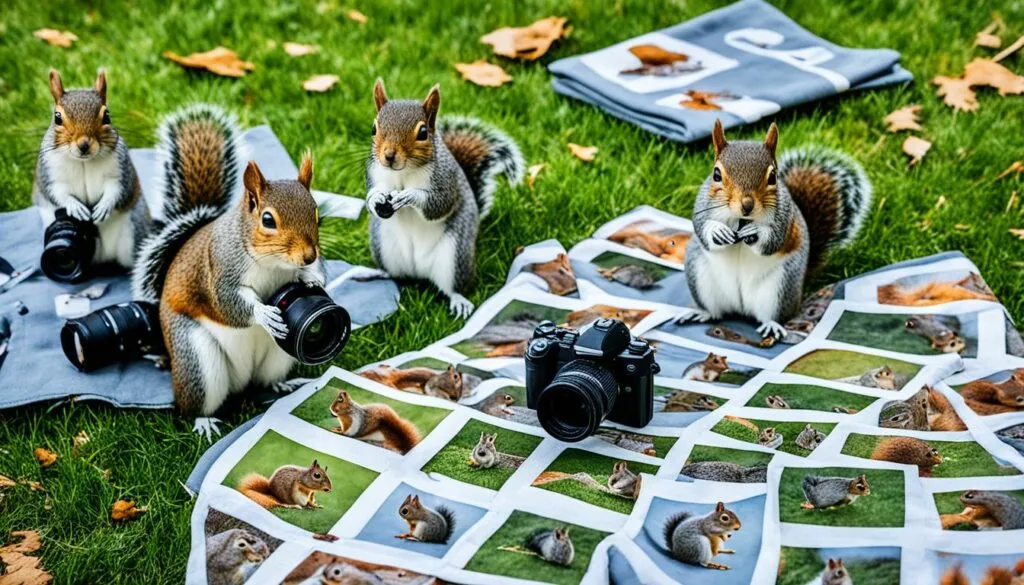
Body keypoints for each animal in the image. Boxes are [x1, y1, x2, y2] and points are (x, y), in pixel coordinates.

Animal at [33, 69, 148, 270]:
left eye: (107, 115)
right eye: (57, 117)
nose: (84, 145)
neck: (84, 162)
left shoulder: (120, 170)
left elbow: (117, 189)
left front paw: (104, 206)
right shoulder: (49, 173)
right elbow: (56, 192)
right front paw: (75, 206)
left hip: (134, 233)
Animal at [132, 105, 325, 417]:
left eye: (317, 214)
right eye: (267, 220)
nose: (309, 256)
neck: (272, 263)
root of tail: (241, 381)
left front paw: (312, 277)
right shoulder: (220, 268)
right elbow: (226, 302)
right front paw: (263, 313)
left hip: (278, 354)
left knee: (266, 379)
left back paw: (284, 385)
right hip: (196, 358)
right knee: (195, 403)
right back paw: (204, 420)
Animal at [365, 79, 524, 318]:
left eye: (423, 132)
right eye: (374, 128)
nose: (389, 155)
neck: (404, 172)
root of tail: (419, 272)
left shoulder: (447, 179)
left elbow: (440, 205)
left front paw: (411, 195)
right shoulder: (375, 172)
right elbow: (370, 194)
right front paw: (376, 199)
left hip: (455, 255)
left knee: (452, 287)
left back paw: (459, 300)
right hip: (383, 246)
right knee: (396, 275)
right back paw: (377, 273)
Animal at [680, 120, 871, 340]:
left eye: (773, 177)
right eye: (716, 174)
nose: (747, 205)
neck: (741, 220)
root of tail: (741, 307)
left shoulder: (785, 217)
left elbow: (775, 239)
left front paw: (755, 232)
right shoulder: (702, 204)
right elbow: (701, 225)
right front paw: (717, 231)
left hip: (781, 287)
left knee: (773, 315)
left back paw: (772, 325)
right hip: (700, 274)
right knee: (715, 311)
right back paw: (701, 313)